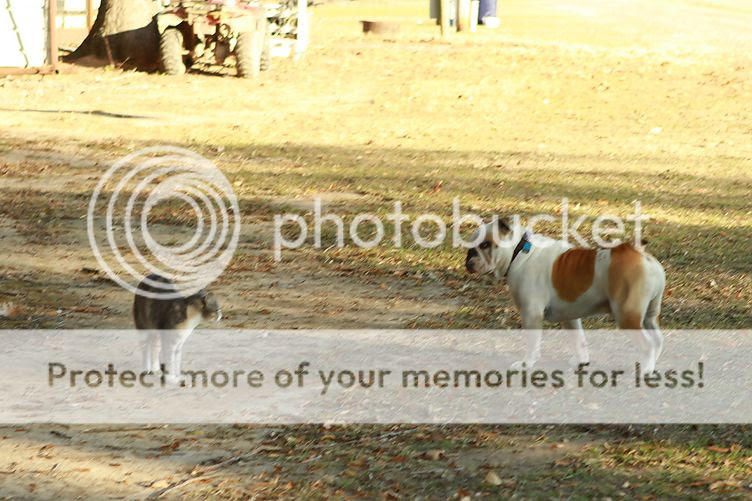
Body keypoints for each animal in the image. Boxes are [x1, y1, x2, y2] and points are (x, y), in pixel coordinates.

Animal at [465, 219, 665, 373]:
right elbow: (578, 340)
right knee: (657, 340)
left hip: (626, 316)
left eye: (485, 245)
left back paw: (646, 369)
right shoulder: (571, 318)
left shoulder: (531, 314)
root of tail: (640, 254)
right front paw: (582, 361)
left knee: (647, 344)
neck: (519, 252)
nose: (469, 258)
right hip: (649, 315)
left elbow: (532, 344)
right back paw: (653, 365)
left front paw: (526, 364)